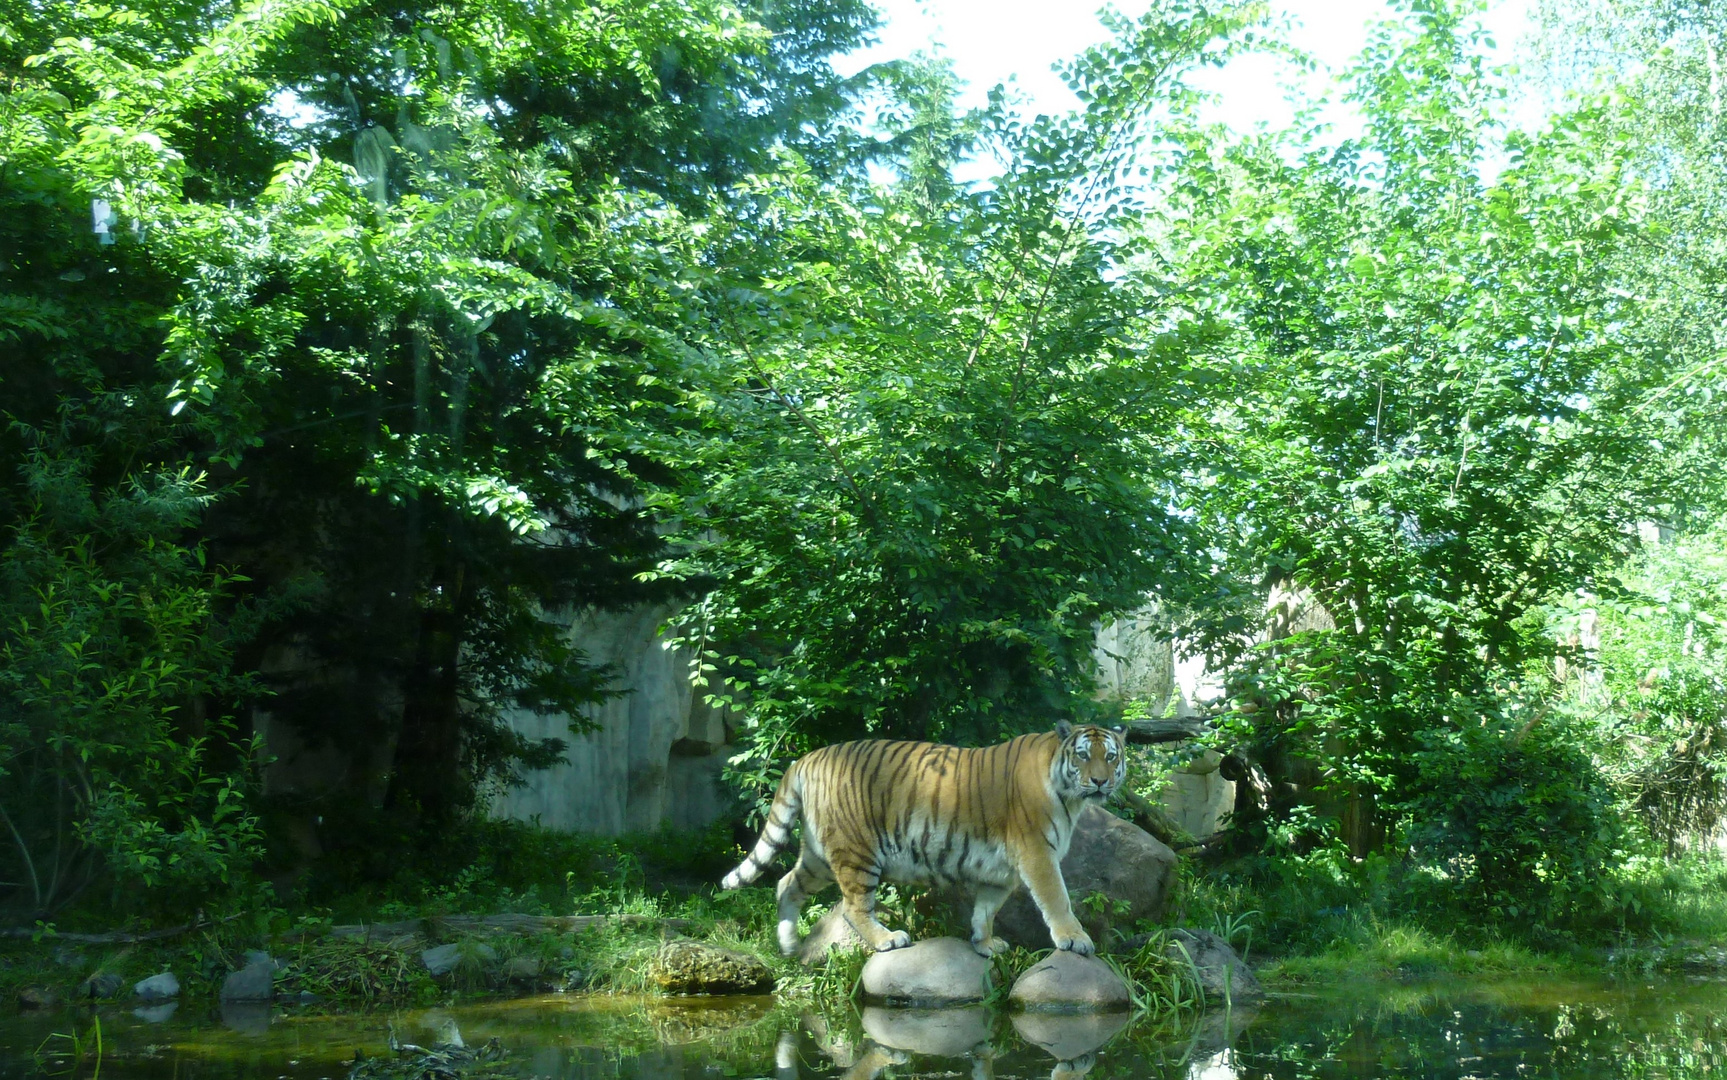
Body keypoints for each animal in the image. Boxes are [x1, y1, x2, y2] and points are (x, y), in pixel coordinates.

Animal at [718, 718, 1132, 953]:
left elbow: (986, 910)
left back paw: (788, 945)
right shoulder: (1036, 854)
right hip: (857, 850)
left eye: (1111, 756)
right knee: (853, 907)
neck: (1070, 795)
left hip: (819, 855)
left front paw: (984, 944)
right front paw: (1074, 939)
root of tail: (806, 758)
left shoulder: (1002, 871)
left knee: (785, 884)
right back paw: (887, 940)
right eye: (1083, 755)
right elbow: (1058, 899)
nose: (1101, 781)